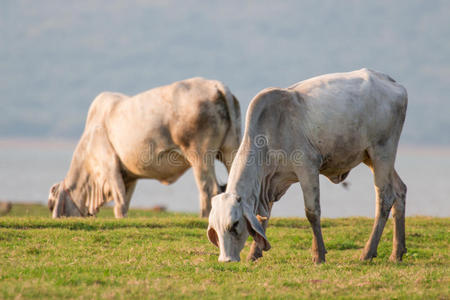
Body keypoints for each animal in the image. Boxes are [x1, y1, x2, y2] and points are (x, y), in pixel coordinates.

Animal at [47, 77, 241, 218]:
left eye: (50, 205)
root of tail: (215, 85)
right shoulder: (129, 176)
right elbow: (125, 200)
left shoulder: (109, 166)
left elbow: (119, 201)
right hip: (230, 149)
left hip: (199, 155)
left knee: (209, 188)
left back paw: (204, 217)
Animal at [207, 68, 408, 262]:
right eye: (215, 228)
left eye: (234, 225)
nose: (226, 259)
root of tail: (393, 83)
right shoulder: (269, 183)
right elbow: (263, 217)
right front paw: (253, 254)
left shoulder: (307, 167)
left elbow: (312, 212)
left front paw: (319, 255)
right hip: (371, 157)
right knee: (400, 190)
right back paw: (397, 253)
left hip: (382, 151)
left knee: (385, 197)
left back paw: (368, 252)